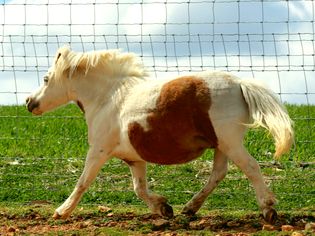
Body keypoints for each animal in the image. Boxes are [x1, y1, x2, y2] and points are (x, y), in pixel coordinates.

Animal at [25, 45, 296, 223]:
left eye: (46, 78)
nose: (29, 102)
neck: (108, 99)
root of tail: (240, 83)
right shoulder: (134, 159)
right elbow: (139, 188)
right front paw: (164, 208)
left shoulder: (99, 150)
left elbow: (83, 182)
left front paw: (61, 211)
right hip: (222, 145)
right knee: (218, 174)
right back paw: (190, 208)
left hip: (230, 142)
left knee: (250, 167)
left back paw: (268, 209)